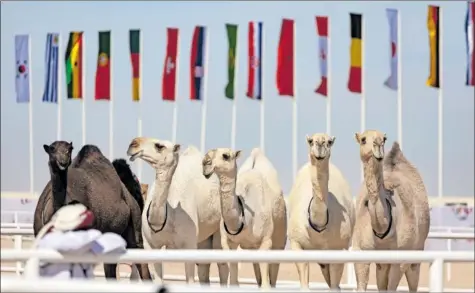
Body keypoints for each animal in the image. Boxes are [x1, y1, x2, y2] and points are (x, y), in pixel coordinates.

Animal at [126, 137, 231, 286]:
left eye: (159, 146)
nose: (133, 144)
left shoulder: (189, 245)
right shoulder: (151, 245)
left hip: (219, 229)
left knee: (222, 265)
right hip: (203, 238)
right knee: (204, 267)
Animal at [201, 146, 286, 288]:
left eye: (225, 156)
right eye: (209, 153)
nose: (205, 163)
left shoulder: (266, 241)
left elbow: (266, 285)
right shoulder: (229, 243)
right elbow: (233, 281)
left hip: (280, 238)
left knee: (273, 272)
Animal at [286, 133, 356, 288]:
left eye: (329, 142)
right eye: (310, 141)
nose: (319, 144)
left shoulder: (338, 248)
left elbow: (335, 287)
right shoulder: (297, 244)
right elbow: (304, 285)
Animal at [354, 131, 432, 292]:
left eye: (383, 139)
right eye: (363, 139)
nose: (377, 145)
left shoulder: (400, 258)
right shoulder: (361, 251)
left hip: (417, 249)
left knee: (413, 279)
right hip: (383, 263)